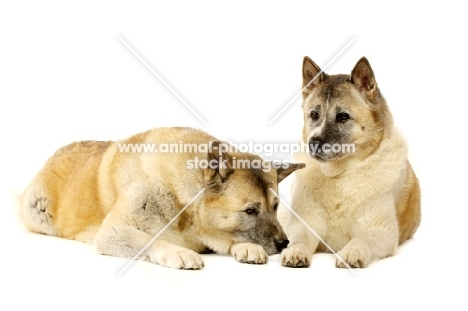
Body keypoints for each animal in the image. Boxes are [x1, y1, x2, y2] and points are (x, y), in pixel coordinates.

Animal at [22, 128, 306, 270]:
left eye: (275, 207)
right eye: (250, 211)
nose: (284, 243)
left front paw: (246, 246)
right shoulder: (113, 232)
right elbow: (149, 240)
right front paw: (178, 253)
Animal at [280, 57, 422, 270]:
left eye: (343, 116)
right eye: (314, 114)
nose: (313, 143)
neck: (339, 176)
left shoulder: (381, 229)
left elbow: (362, 238)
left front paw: (351, 252)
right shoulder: (303, 223)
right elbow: (299, 239)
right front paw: (295, 251)